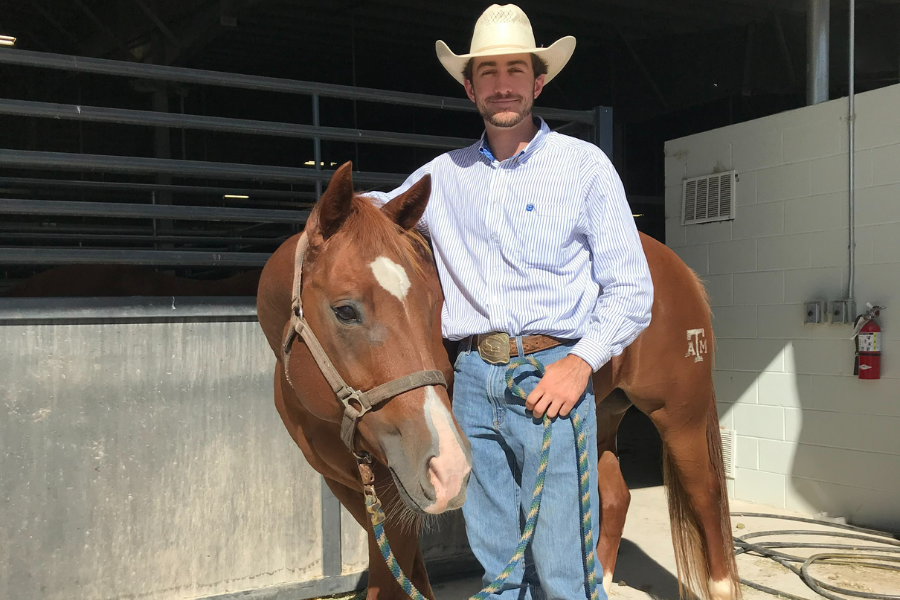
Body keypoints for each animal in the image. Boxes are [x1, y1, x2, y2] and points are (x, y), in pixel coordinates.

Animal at [255, 164, 740, 600]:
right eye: (345, 310)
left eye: (433, 304)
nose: (448, 466)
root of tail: (674, 267)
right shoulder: (356, 490)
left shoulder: (397, 498)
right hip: (597, 417)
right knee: (616, 496)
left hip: (679, 416)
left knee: (707, 495)